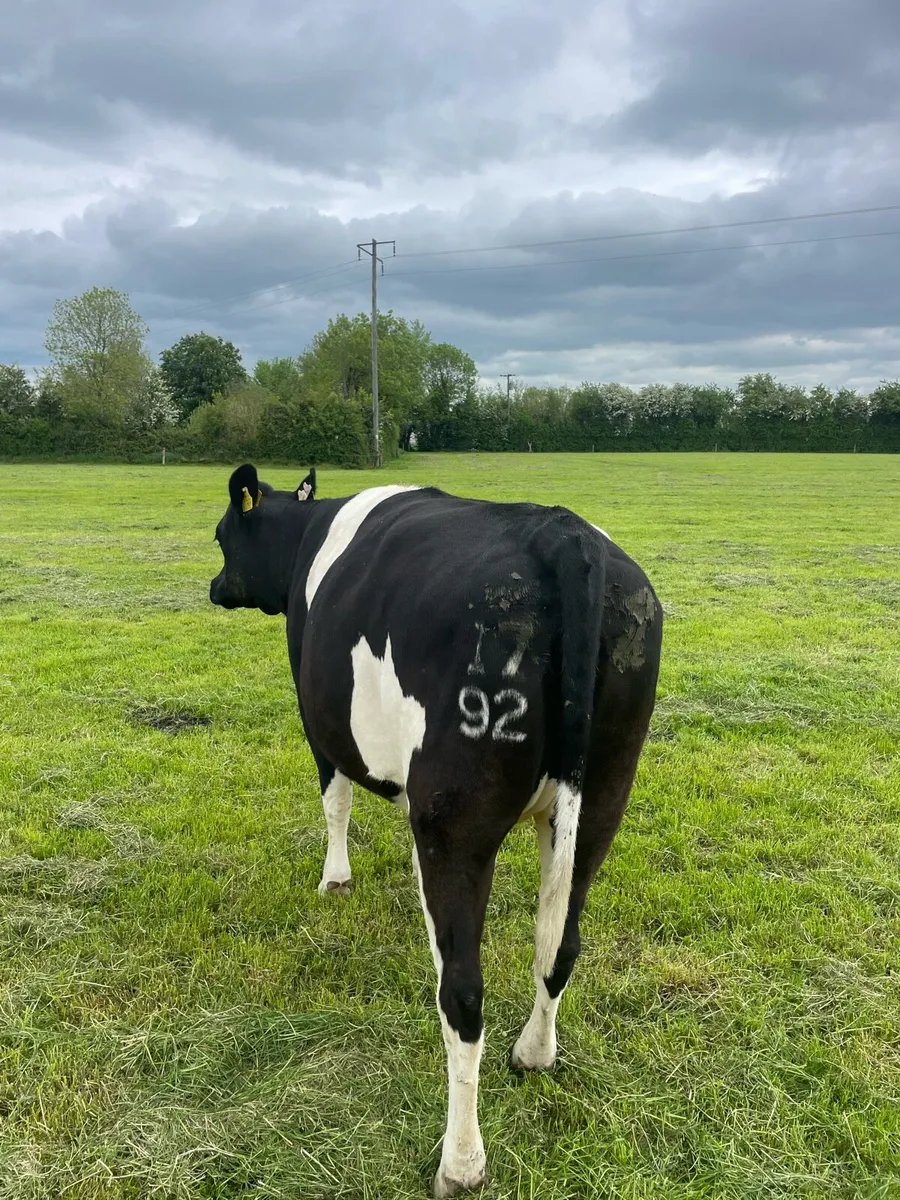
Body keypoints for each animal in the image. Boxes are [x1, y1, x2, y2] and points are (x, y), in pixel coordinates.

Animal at [209, 463, 662, 1197]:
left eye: (223, 535)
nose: (216, 586)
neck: (307, 534)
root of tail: (564, 537)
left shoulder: (324, 730)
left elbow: (335, 801)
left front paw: (335, 879)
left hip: (457, 823)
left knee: (463, 994)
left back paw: (461, 1162)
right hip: (601, 799)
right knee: (559, 944)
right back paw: (534, 1053)